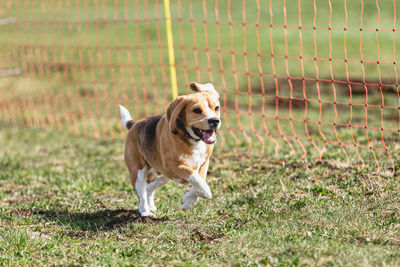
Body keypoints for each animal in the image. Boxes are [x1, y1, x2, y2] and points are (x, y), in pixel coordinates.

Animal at [119, 82, 222, 218]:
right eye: (196, 110)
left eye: (216, 108)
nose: (214, 121)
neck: (192, 140)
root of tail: (134, 124)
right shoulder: (172, 166)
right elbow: (197, 180)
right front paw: (197, 197)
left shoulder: (204, 163)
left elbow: (200, 181)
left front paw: (188, 201)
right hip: (139, 171)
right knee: (141, 192)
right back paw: (145, 211)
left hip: (163, 175)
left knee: (149, 188)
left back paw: (151, 206)